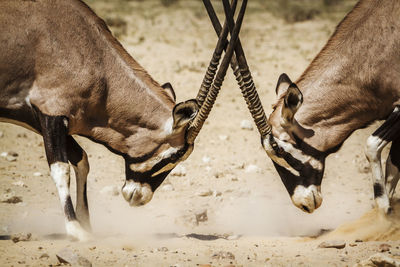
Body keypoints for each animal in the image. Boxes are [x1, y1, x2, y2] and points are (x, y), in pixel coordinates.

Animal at [0, 0, 247, 241]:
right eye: (173, 157)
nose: (138, 197)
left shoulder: (47, 120)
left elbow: (82, 160)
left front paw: (86, 224)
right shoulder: (50, 114)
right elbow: (61, 168)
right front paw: (76, 229)